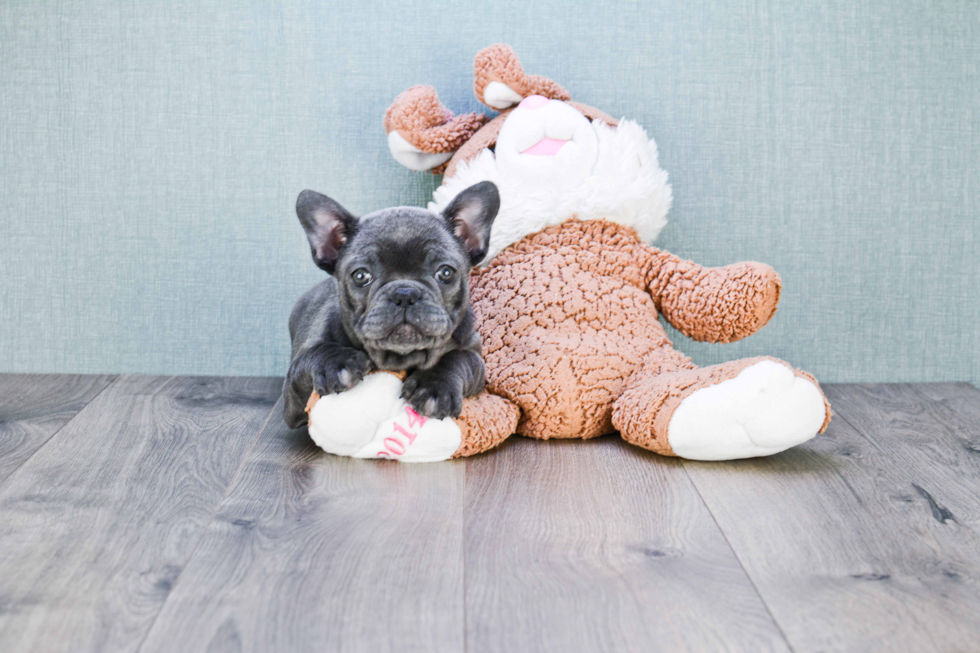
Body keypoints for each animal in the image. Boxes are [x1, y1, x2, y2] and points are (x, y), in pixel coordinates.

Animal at [282, 181, 498, 430]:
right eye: (361, 276)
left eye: (445, 273)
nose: (404, 294)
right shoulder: (292, 397)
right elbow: (308, 358)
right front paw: (336, 363)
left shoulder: (474, 356)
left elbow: (458, 359)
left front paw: (435, 386)